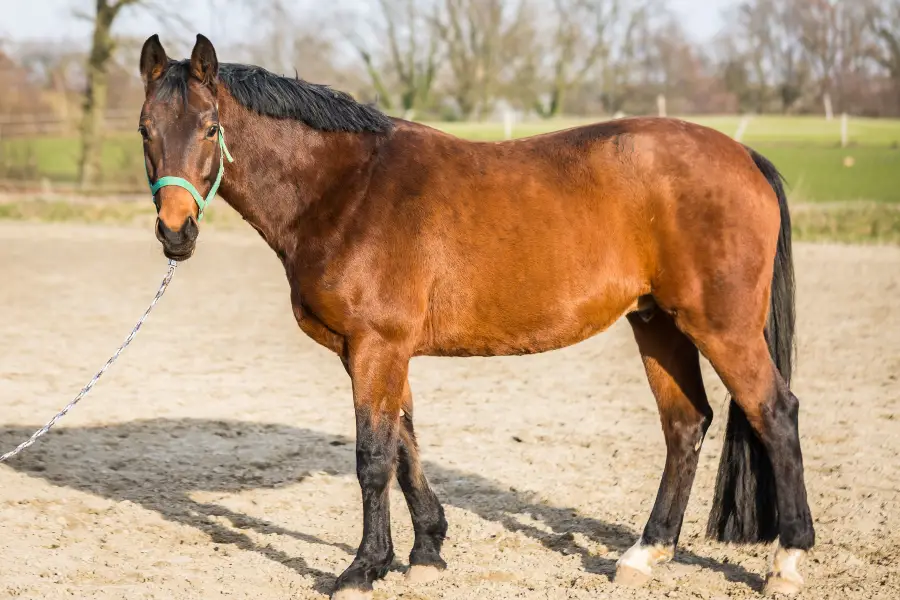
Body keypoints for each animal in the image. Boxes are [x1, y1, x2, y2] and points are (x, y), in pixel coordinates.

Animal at [135, 35, 816, 600]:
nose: (176, 232)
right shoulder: (377, 351)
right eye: (145, 129)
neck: (347, 189)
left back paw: (786, 562)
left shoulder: (376, 346)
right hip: (657, 324)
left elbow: (373, 457)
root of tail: (743, 155)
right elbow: (405, 444)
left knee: (775, 413)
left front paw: (362, 569)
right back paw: (644, 555)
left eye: (211, 127)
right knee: (685, 425)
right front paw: (425, 552)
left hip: (720, 328)